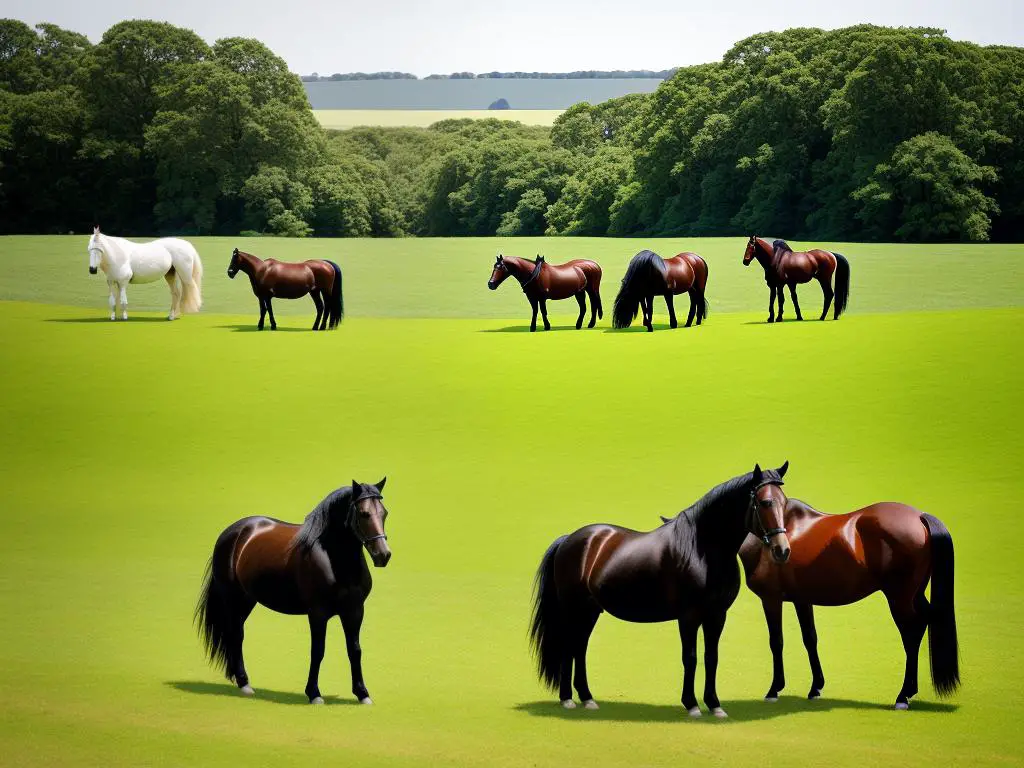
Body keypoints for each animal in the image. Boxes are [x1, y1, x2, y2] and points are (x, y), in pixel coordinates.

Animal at [195, 481, 391, 708]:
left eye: (384, 512)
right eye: (364, 513)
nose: (383, 555)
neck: (335, 561)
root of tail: (232, 532)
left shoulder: (355, 611)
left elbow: (355, 650)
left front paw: (362, 693)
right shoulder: (317, 613)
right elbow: (318, 651)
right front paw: (314, 693)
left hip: (247, 599)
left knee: (237, 634)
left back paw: (241, 681)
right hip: (232, 598)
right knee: (235, 634)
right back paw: (244, 684)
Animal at [528, 460, 790, 720]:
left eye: (784, 502)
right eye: (764, 502)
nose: (782, 550)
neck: (702, 548)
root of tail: (569, 539)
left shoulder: (717, 615)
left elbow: (711, 657)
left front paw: (714, 705)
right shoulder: (688, 616)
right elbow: (690, 658)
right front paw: (692, 705)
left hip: (590, 610)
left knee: (579, 647)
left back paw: (587, 698)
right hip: (572, 609)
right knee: (569, 647)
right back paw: (567, 700)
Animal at [737, 489, 958, 712]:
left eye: (766, 503)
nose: (782, 552)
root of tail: (920, 516)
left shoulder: (771, 599)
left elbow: (776, 641)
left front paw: (774, 689)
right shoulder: (802, 599)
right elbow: (810, 638)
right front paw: (816, 688)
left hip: (900, 599)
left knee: (912, 634)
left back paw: (903, 696)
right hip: (915, 596)